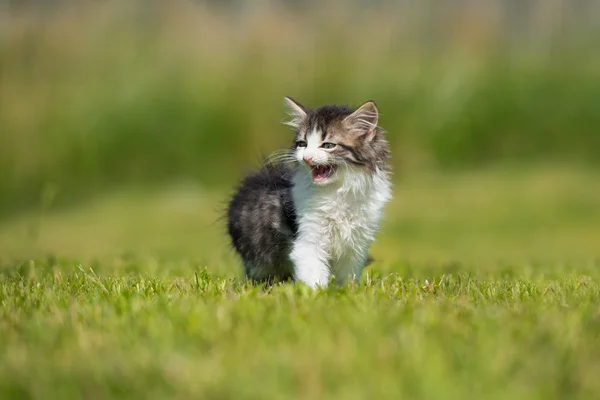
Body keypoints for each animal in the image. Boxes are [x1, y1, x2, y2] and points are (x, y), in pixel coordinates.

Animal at [227, 97, 392, 288]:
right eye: (302, 144)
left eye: (328, 145)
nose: (306, 157)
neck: (336, 191)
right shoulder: (308, 240)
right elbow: (313, 275)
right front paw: (317, 293)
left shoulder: (356, 245)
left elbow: (347, 276)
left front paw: (346, 291)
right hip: (258, 257)